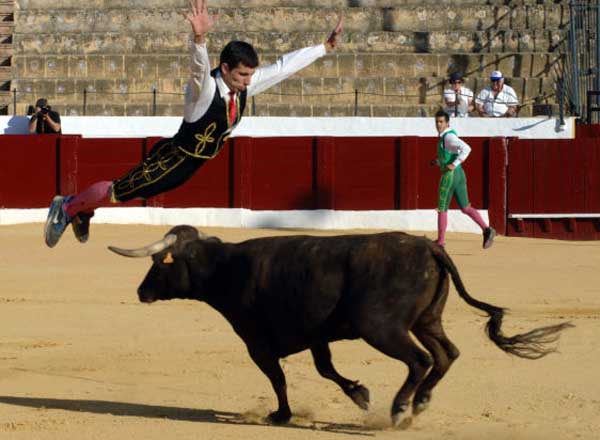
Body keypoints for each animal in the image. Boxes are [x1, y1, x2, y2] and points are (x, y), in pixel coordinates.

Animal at [109, 227, 572, 426]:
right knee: (446, 354)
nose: (141, 291)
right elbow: (326, 369)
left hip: (381, 327)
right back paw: (419, 403)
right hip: (427, 320)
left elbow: (278, 378)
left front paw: (281, 415)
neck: (227, 268)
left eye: (159, 264)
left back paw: (400, 409)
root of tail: (429, 247)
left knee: (419, 361)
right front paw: (360, 395)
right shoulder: (317, 336)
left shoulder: (257, 342)